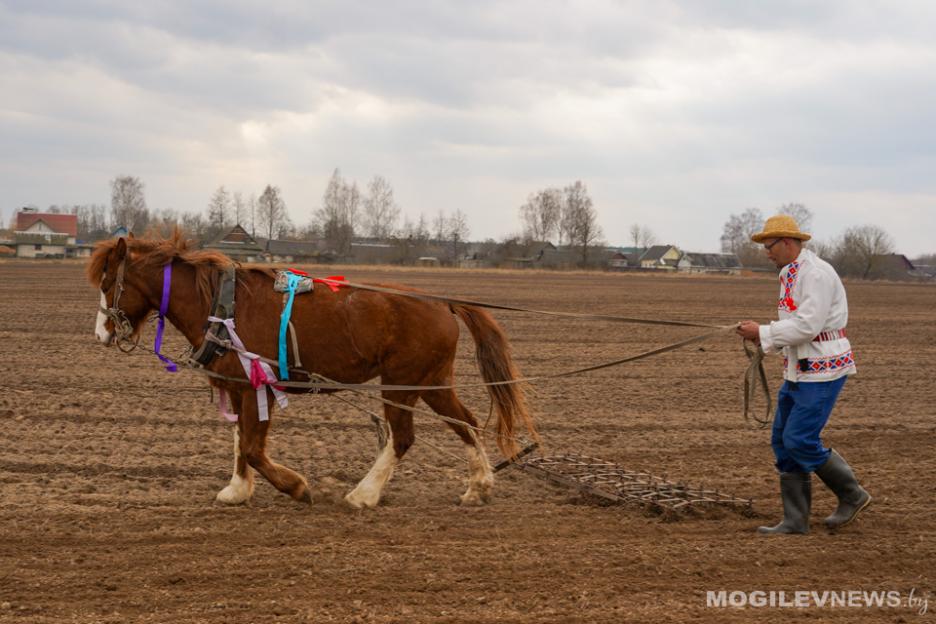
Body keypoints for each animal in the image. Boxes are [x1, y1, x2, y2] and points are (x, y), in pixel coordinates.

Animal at [91, 232, 536, 510]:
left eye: (109, 281)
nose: (101, 333)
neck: (222, 303)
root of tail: (443, 302)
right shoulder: (239, 386)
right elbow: (239, 442)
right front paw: (237, 490)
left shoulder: (259, 386)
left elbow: (252, 448)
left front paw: (296, 487)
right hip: (432, 382)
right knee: (466, 422)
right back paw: (478, 487)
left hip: (401, 383)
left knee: (403, 438)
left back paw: (364, 495)